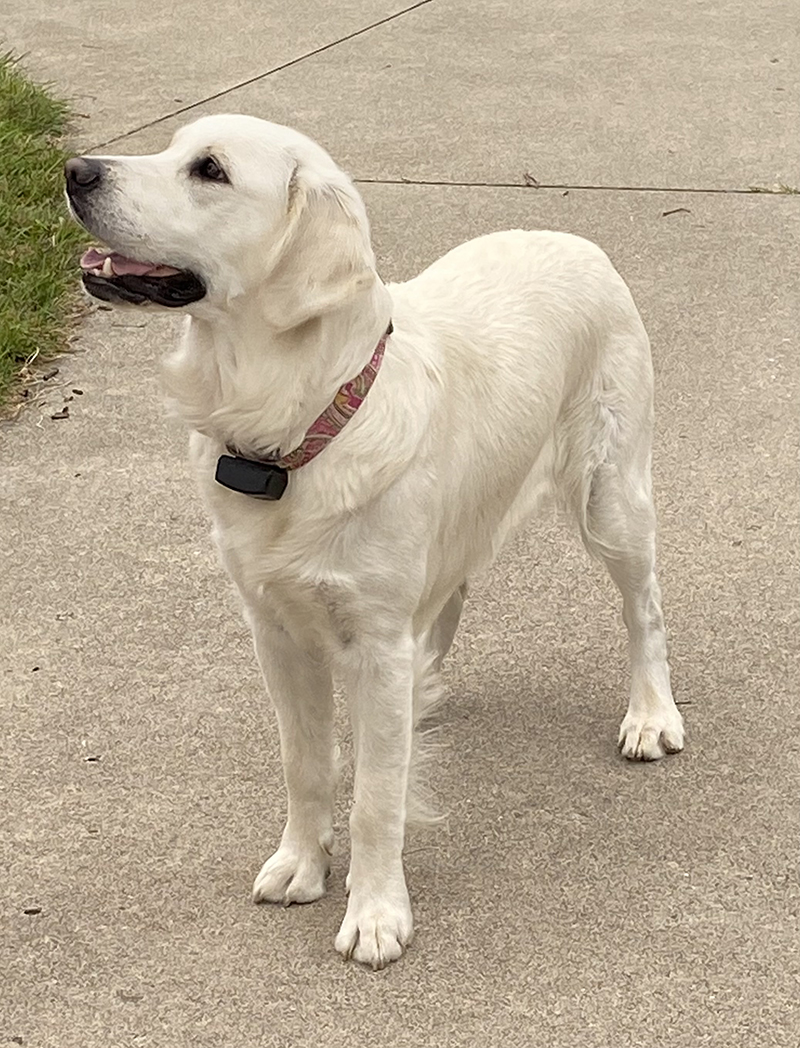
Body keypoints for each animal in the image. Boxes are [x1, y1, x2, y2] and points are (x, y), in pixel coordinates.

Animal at [65, 114, 683, 964]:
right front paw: (301, 862)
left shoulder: (375, 634)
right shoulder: (275, 629)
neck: (295, 424)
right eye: (171, 147)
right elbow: (306, 764)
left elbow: (376, 795)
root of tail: (576, 239)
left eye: (210, 170)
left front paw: (377, 911)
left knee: (643, 608)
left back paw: (651, 714)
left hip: (610, 497)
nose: (73, 171)